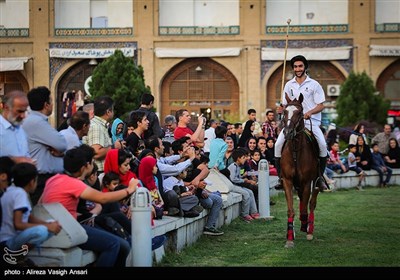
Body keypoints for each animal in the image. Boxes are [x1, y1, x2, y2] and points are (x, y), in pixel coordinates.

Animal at [282, 92, 322, 247]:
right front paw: (289, 237)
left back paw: (309, 229)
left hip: (315, 182)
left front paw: (305, 226)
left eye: (299, 112)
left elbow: (305, 208)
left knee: (311, 203)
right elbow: (290, 210)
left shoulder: (306, 182)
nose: (288, 132)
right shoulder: (287, 181)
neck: (295, 150)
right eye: (284, 112)